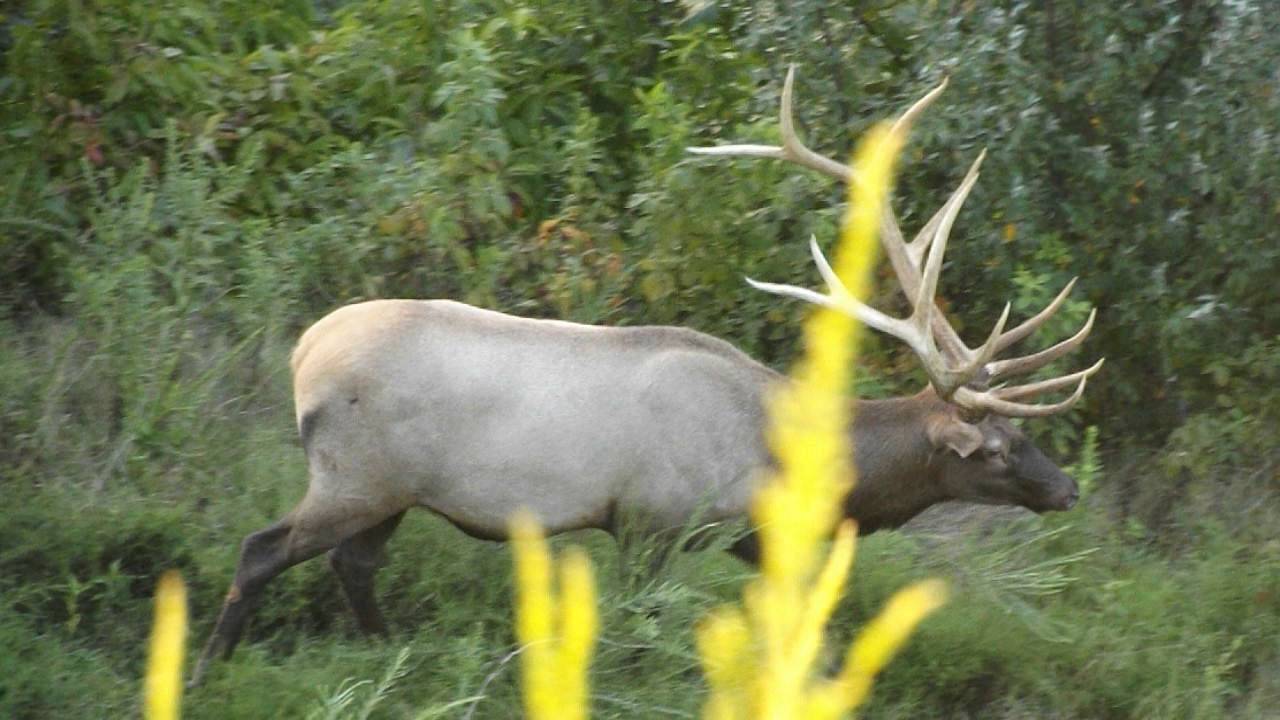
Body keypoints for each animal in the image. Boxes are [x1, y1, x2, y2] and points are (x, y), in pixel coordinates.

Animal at [190, 67, 1101, 686]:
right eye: (995, 446)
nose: (1066, 490)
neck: (774, 455)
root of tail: (302, 353)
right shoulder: (652, 520)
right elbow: (636, 628)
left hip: (393, 492)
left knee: (353, 567)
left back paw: (388, 653)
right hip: (354, 474)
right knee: (262, 549)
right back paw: (208, 667)